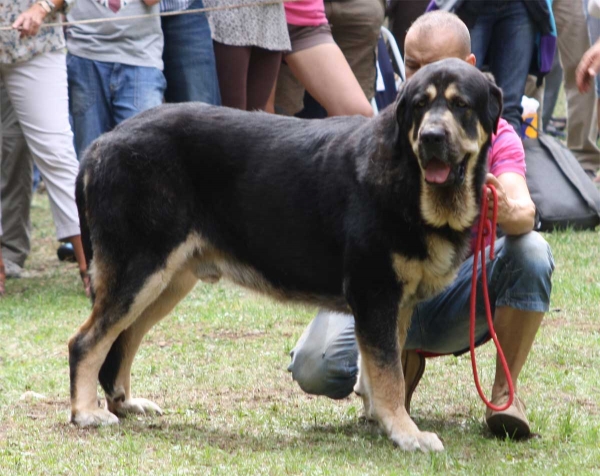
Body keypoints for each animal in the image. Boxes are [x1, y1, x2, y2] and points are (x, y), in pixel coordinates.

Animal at [69, 57, 502, 452]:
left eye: (461, 105)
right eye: (419, 105)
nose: (431, 136)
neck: (410, 179)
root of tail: (99, 144)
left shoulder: (395, 305)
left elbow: (380, 371)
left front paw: (383, 421)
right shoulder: (376, 294)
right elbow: (388, 375)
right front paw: (407, 433)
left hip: (166, 282)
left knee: (123, 339)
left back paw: (125, 403)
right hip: (139, 271)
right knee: (86, 342)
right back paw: (86, 413)